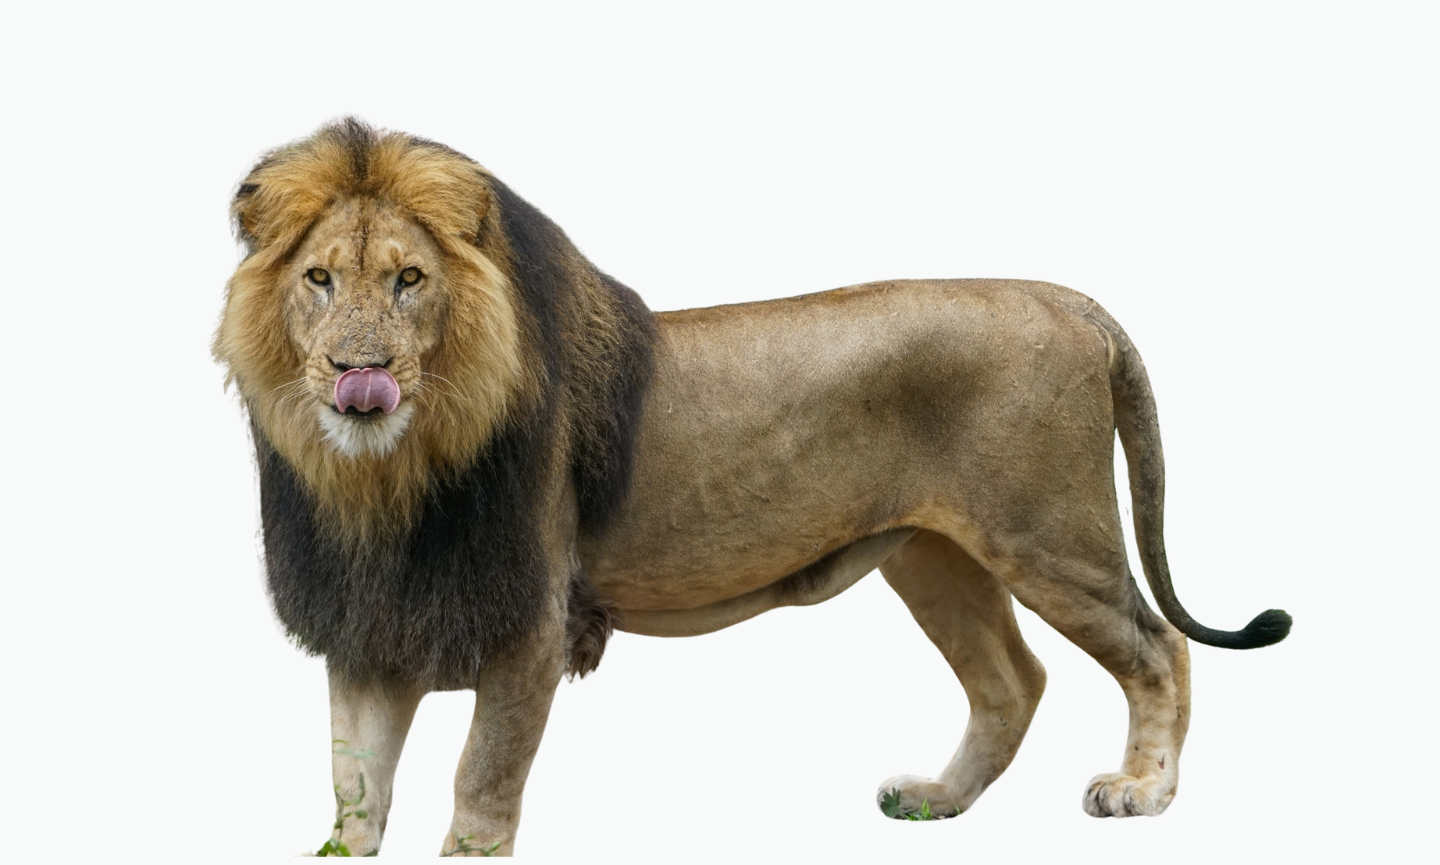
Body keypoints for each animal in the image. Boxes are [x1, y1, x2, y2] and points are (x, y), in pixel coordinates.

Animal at [214, 119, 1291, 856]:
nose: (358, 372)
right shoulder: (369, 628)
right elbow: (355, 787)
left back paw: (1142, 790)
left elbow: (481, 782)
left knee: (1156, 648)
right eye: (317, 279)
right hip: (936, 559)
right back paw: (935, 800)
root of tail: (1060, 295)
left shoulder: (530, 621)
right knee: (1012, 680)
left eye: (409, 281)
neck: (383, 475)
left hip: (1049, 533)